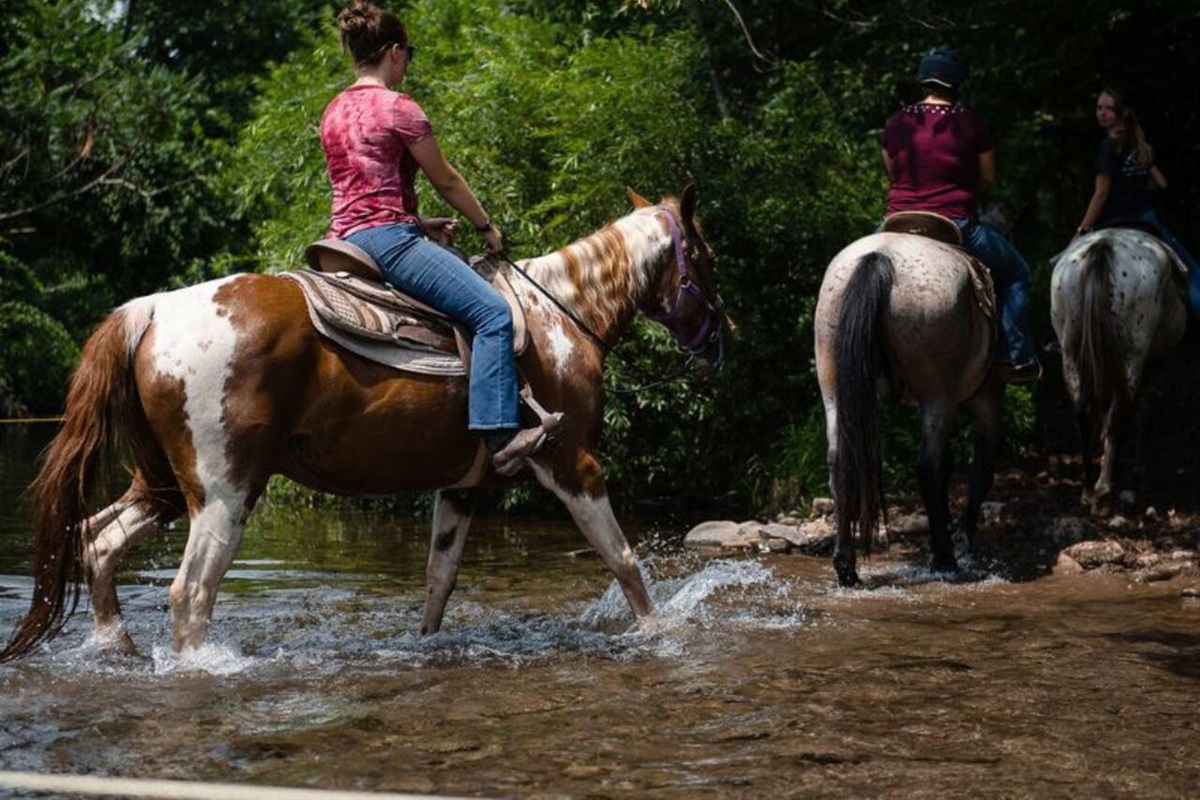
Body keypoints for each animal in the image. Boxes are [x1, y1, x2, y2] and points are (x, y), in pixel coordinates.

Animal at [2, 184, 729, 662]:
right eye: (706, 256)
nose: (722, 340)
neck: (559, 319)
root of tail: (151, 310)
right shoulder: (572, 462)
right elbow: (624, 561)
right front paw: (660, 634)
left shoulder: (463, 486)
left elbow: (439, 583)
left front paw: (424, 648)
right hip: (226, 492)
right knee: (189, 594)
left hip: (163, 485)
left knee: (97, 540)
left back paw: (114, 646)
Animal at [816, 231, 1003, 587]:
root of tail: (878, 258)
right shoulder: (985, 397)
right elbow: (982, 467)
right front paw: (962, 534)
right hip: (939, 397)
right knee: (928, 468)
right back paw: (945, 559)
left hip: (833, 389)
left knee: (839, 463)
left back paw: (846, 567)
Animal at [1046, 226, 1185, 513]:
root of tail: (1103, 246)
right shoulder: (1159, 363)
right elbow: (1143, 411)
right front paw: (1138, 470)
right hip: (1132, 358)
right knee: (1116, 415)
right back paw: (1103, 490)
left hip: (1071, 354)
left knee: (1083, 413)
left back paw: (1088, 488)